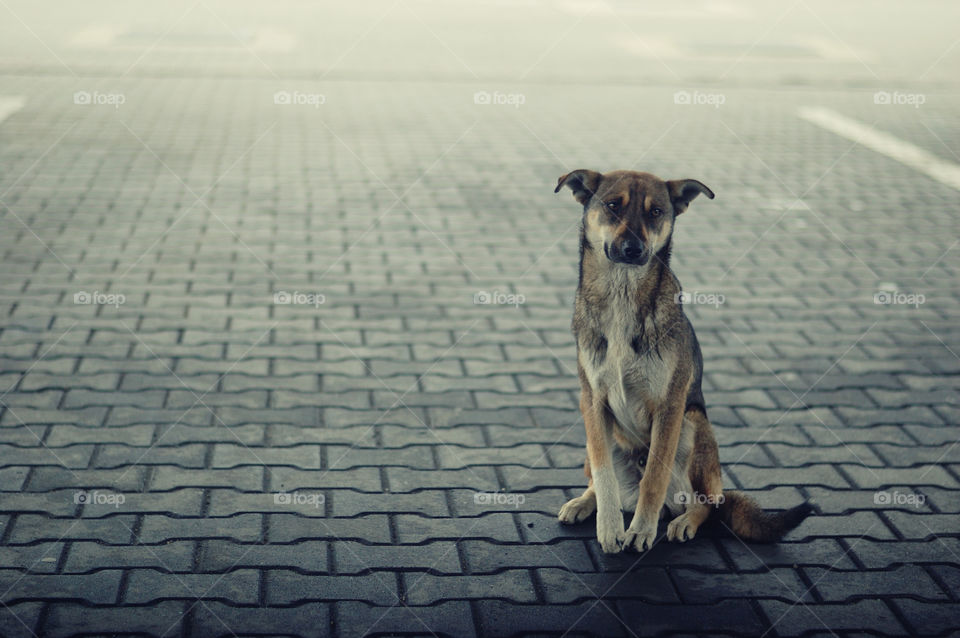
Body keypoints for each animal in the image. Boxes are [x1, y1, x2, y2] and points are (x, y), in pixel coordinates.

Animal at [556, 170, 808, 556]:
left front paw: (640, 531)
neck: (622, 295)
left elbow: (655, 478)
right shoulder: (593, 402)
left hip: (693, 426)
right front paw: (610, 528)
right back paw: (584, 502)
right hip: (595, 438)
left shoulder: (670, 406)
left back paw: (683, 522)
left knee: (707, 503)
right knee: (599, 478)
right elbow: (604, 474)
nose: (633, 249)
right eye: (613, 205)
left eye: (656, 211)